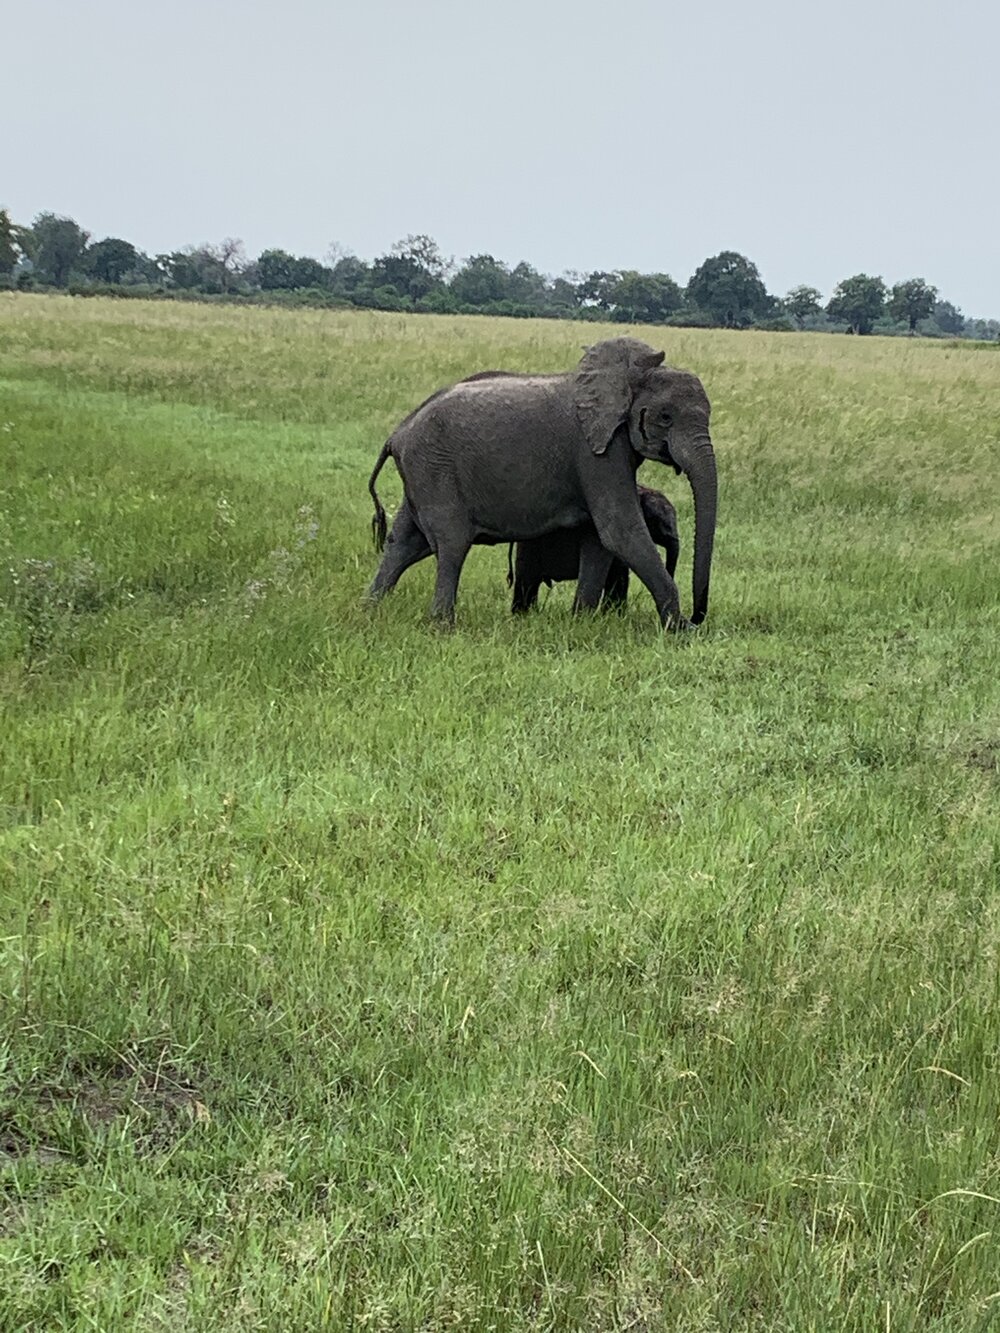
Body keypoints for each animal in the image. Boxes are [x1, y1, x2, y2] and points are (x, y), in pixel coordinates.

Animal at [509, 485, 682, 613]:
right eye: (659, 523)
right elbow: (618, 577)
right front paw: (613, 616)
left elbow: (618, 575)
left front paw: (612, 616)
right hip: (530, 545)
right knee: (527, 580)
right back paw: (522, 615)